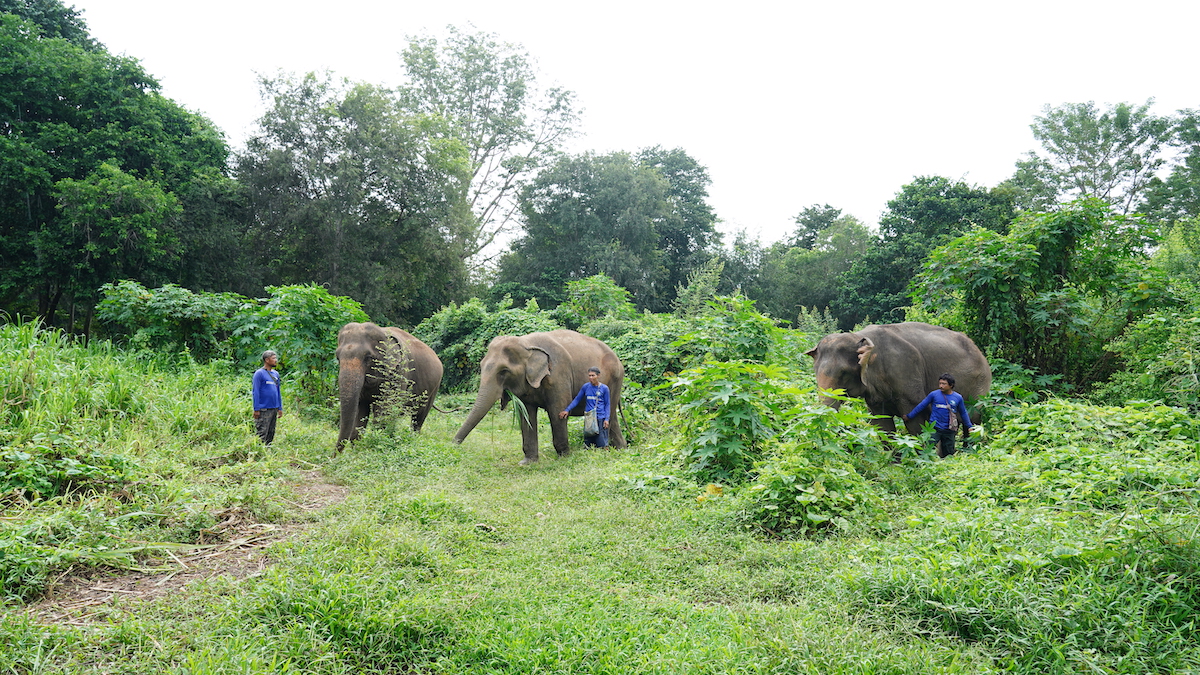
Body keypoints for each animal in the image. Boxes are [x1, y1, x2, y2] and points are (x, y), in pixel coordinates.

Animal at [335, 322, 443, 452]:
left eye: (368, 357)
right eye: (337, 357)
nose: (334, 455)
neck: (383, 332)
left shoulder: (398, 372)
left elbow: (384, 410)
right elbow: (360, 410)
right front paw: (356, 450)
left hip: (434, 388)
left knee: (419, 417)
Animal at [453, 329, 626, 464]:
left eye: (504, 371)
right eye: (481, 366)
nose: (452, 445)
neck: (526, 343)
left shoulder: (558, 374)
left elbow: (558, 411)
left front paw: (564, 458)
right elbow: (526, 415)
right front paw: (527, 462)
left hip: (615, 379)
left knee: (609, 415)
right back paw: (620, 449)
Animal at [805, 322, 991, 436]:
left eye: (843, 373)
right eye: (814, 371)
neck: (859, 336)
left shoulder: (905, 370)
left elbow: (916, 421)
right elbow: (882, 424)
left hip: (980, 383)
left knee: (973, 419)